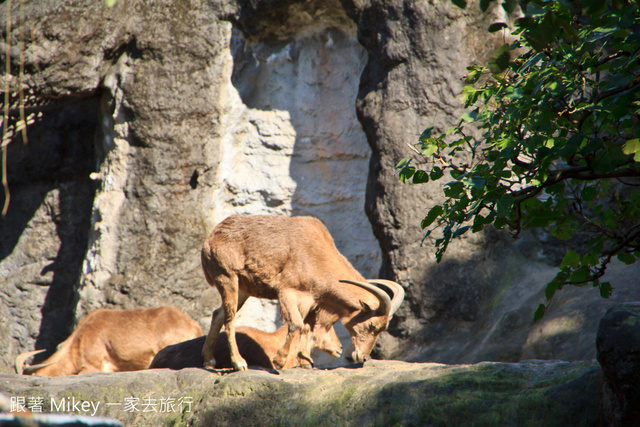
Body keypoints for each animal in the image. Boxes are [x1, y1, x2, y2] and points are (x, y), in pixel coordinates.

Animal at [200, 216, 402, 372]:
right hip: (227, 278)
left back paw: (209, 361)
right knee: (229, 319)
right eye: (372, 325)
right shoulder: (287, 292)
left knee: (218, 315)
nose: (363, 357)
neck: (317, 254)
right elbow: (296, 324)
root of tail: (209, 240)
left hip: (243, 290)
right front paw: (279, 361)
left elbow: (306, 326)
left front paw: (305, 362)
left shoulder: (309, 300)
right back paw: (239, 363)